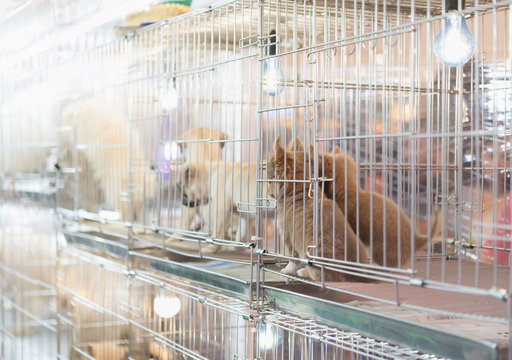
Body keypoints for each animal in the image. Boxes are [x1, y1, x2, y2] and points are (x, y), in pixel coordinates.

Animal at [266, 138, 370, 282]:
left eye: (270, 182)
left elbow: (292, 259)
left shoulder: (288, 237)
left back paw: (304, 272)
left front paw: (286, 271)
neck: (300, 192)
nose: (268, 193)